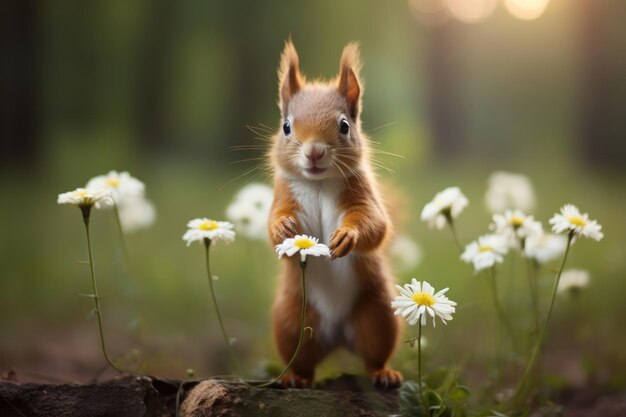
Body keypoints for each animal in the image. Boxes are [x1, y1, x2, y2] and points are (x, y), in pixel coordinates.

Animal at [266, 40, 402, 388]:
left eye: (344, 125)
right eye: (286, 126)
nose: (314, 152)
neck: (319, 183)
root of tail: (338, 336)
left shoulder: (362, 195)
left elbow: (375, 225)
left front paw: (346, 236)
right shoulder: (283, 194)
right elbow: (272, 227)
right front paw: (284, 227)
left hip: (377, 313)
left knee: (374, 353)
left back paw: (383, 373)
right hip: (292, 321)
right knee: (302, 360)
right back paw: (295, 378)